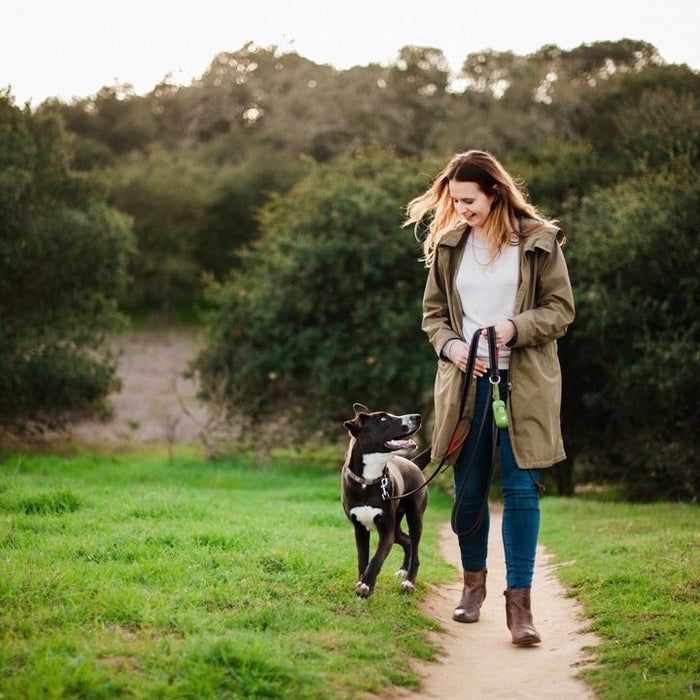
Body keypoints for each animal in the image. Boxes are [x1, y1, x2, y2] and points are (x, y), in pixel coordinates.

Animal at [340, 404, 426, 596]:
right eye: (383, 419)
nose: (417, 417)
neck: (368, 480)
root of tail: (414, 463)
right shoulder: (359, 529)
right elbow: (362, 559)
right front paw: (362, 582)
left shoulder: (386, 530)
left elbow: (376, 558)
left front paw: (366, 585)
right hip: (397, 521)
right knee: (406, 541)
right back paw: (402, 570)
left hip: (415, 516)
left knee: (415, 548)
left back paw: (409, 581)